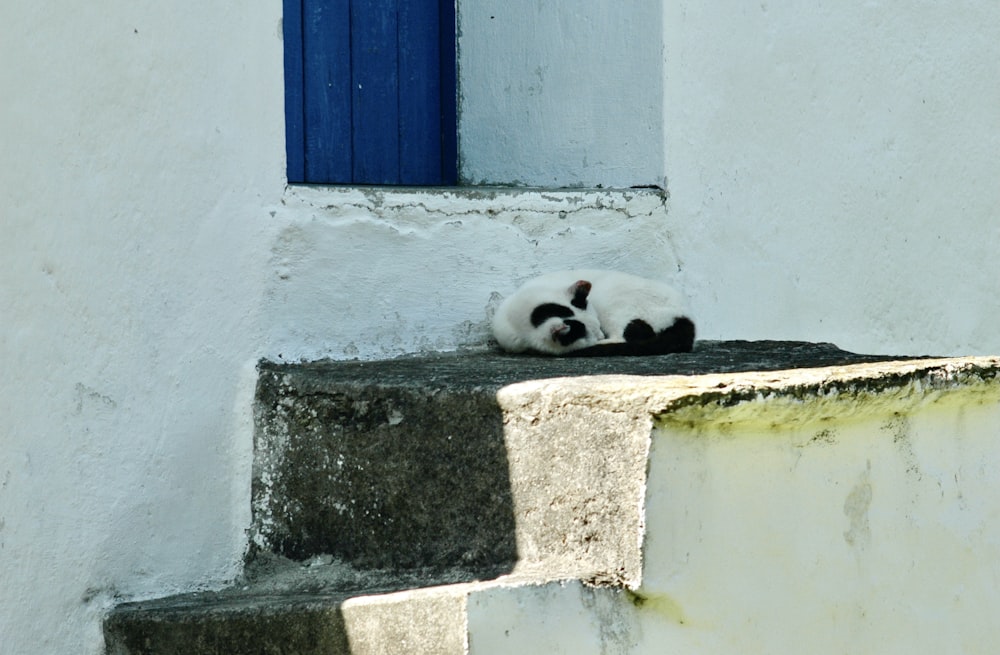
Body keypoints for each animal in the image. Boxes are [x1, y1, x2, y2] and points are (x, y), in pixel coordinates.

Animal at [492, 270, 696, 356]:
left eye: (598, 327)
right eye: (591, 333)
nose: (600, 336)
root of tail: (685, 317)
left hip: (611, 297)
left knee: (629, 335)